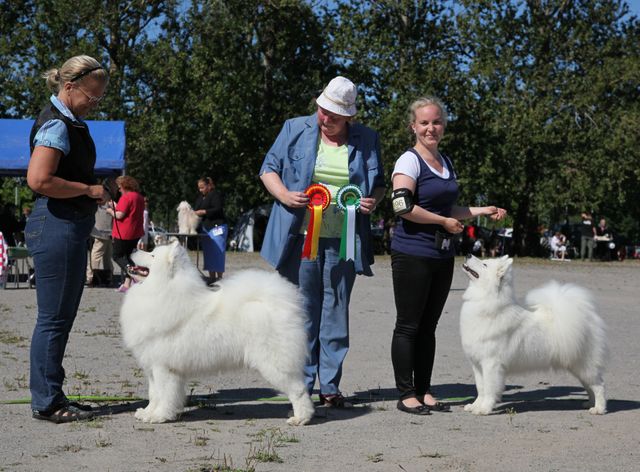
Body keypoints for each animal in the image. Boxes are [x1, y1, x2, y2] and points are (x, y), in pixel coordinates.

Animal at [119, 242, 316, 426]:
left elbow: (164, 394)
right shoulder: (152, 366)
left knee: (298, 389)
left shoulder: (163, 367)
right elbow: (154, 394)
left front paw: (159, 416)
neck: (160, 290)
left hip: (273, 364)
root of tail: (283, 305)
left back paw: (301, 418)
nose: (133, 249)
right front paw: (147, 413)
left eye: (152, 255)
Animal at [462, 256, 608, 414]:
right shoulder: (477, 364)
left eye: (484, 264)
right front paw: (475, 406)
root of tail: (589, 318)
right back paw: (590, 404)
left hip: (584, 365)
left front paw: (485, 409)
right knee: (589, 386)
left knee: (599, 386)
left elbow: (489, 389)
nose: (468, 255)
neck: (486, 301)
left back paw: (599, 409)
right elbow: (480, 388)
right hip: (576, 365)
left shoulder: (491, 364)